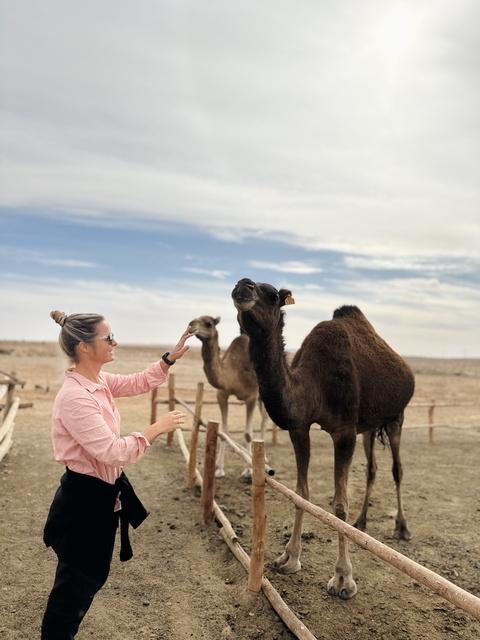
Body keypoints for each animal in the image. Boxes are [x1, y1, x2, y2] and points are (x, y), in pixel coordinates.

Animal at [188, 315, 268, 478]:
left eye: (208, 323)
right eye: (196, 318)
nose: (191, 325)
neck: (233, 371)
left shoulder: (251, 397)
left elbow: (248, 434)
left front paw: (249, 470)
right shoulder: (222, 394)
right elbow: (224, 432)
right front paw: (219, 469)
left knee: (264, 420)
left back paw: (263, 456)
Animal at [231, 278, 415, 599]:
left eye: (272, 295)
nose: (243, 286)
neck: (314, 383)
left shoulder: (344, 431)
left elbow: (339, 505)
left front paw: (343, 579)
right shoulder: (299, 427)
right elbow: (301, 493)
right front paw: (289, 558)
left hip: (396, 417)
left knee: (397, 469)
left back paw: (401, 528)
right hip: (368, 426)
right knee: (372, 468)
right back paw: (362, 522)